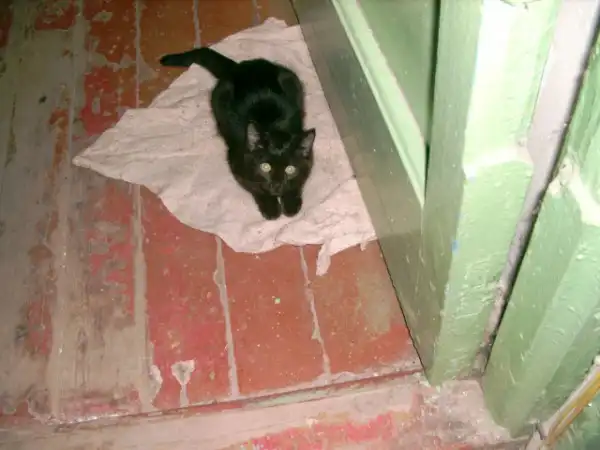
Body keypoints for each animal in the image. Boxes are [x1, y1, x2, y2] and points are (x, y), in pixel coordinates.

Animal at [159, 47, 316, 220]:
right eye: (265, 167)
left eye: (290, 169)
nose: (276, 185)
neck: (272, 126)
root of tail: (239, 67)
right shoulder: (237, 162)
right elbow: (255, 187)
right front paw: (270, 207)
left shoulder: (308, 161)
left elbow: (299, 180)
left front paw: (291, 203)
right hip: (220, 99)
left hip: (291, 81)